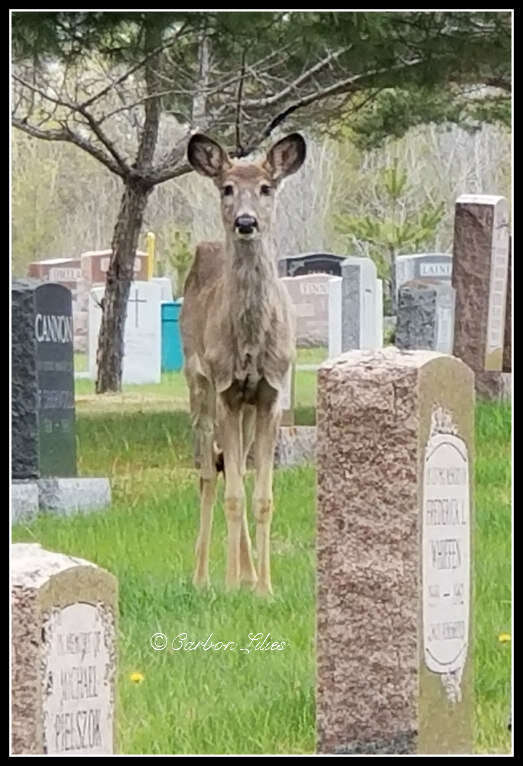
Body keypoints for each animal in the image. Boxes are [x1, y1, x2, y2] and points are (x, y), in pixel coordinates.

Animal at [181, 132, 308, 600]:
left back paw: (249, 572)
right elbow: (234, 494)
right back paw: (202, 576)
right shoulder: (226, 390)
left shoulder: (270, 394)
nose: (246, 222)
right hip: (197, 384)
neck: (252, 342)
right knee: (208, 474)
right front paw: (232, 585)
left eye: (267, 187)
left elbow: (263, 496)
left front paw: (264, 588)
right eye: (227, 188)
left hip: (246, 410)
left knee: (229, 469)